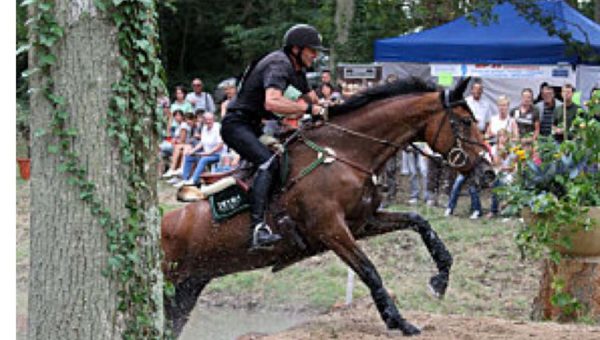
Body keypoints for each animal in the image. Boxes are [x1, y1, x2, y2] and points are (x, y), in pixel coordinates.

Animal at [162, 77, 494, 338]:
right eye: (466, 122)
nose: (489, 173)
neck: (344, 154)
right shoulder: (331, 230)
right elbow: (370, 271)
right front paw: (399, 321)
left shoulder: (363, 222)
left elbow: (420, 222)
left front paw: (439, 281)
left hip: (187, 288)